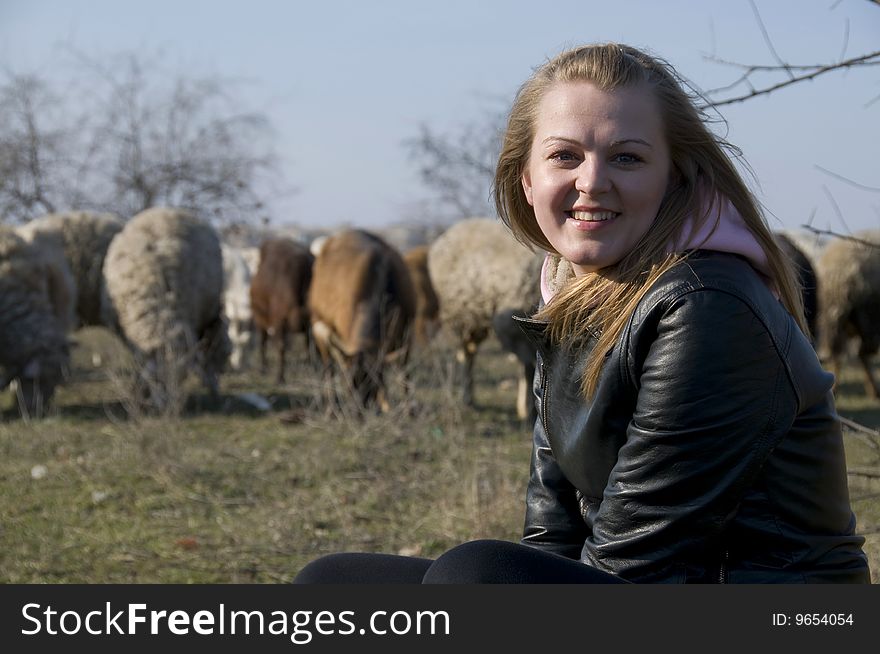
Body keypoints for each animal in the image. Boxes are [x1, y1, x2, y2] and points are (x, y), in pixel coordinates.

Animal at [249, 238, 314, 384]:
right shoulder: (278, 321)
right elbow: (281, 346)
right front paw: (280, 376)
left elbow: (309, 345)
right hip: (260, 318)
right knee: (263, 342)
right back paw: (263, 368)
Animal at [308, 229, 418, 416]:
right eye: (348, 385)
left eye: (372, 385)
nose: (358, 413)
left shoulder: (406, 332)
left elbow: (404, 370)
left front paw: (406, 410)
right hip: (319, 326)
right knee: (328, 367)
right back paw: (331, 409)